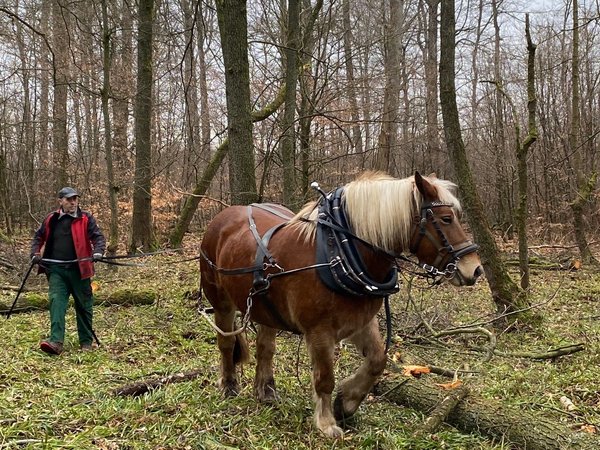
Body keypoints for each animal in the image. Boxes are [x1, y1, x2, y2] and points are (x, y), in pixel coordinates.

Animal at [200, 171, 482, 438]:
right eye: (446, 219)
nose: (476, 269)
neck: (337, 254)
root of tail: (226, 214)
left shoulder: (361, 322)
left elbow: (377, 360)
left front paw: (347, 402)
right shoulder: (319, 331)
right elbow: (325, 378)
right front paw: (326, 423)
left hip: (266, 308)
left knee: (265, 348)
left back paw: (266, 390)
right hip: (221, 301)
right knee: (226, 343)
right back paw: (229, 385)